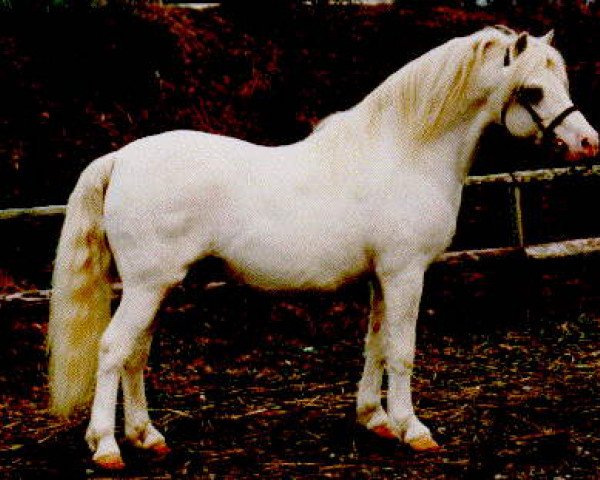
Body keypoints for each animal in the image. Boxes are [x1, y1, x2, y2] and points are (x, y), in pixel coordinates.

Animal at [49, 26, 596, 468]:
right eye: (533, 90)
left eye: (563, 83)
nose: (588, 143)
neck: (404, 153)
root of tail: (121, 158)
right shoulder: (405, 274)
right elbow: (401, 351)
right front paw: (414, 430)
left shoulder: (382, 277)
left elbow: (375, 344)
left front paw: (376, 419)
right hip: (147, 287)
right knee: (112, 349)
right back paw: (107, 447)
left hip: (157, 287)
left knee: (135, 354)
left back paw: (147, 436)